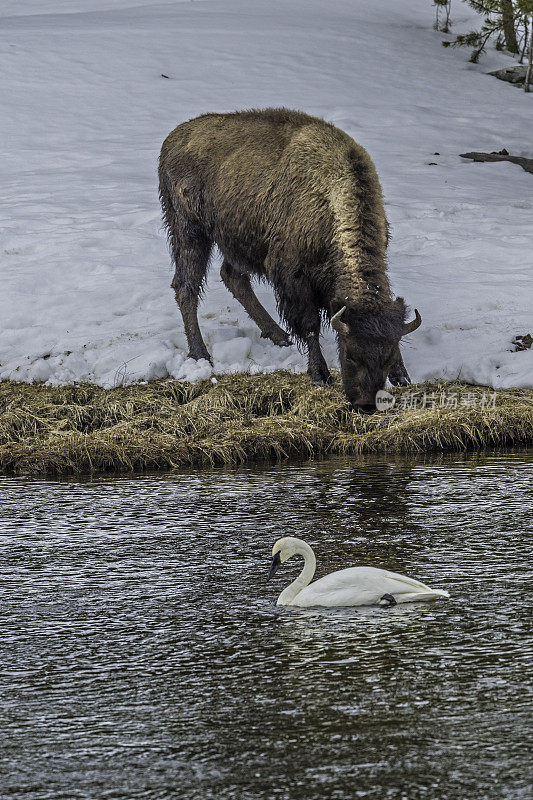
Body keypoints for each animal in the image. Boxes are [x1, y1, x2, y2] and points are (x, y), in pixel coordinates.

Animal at [158, 107, 420, 412]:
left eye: (387, 356)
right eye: (350, 353)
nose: (365, 404)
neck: (330, 200)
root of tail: (174, 137)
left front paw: (402, 376)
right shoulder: (295, 280)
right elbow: (310, 325)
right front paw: (320, 375)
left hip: (235, 240)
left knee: (232, 277)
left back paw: (279, 336)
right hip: (190, 232)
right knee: (186, 286)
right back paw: (201, 355)